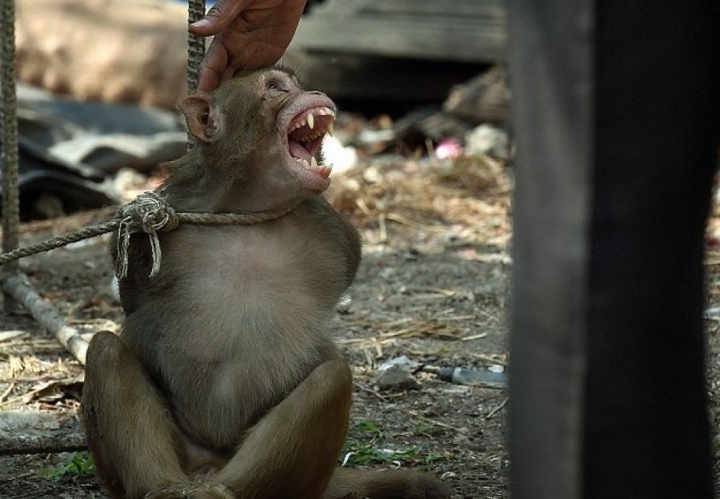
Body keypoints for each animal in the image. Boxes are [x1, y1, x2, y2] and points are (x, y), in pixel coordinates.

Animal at [80, 67, 450, 499]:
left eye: (297, 82)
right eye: (275, 88)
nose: (316, 92)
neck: (248, 207)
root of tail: (207, 467)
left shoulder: (335, 231)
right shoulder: (158, 222)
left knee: (332, 379)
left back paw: (224, 492)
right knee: (104, 350)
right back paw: (164, 488)